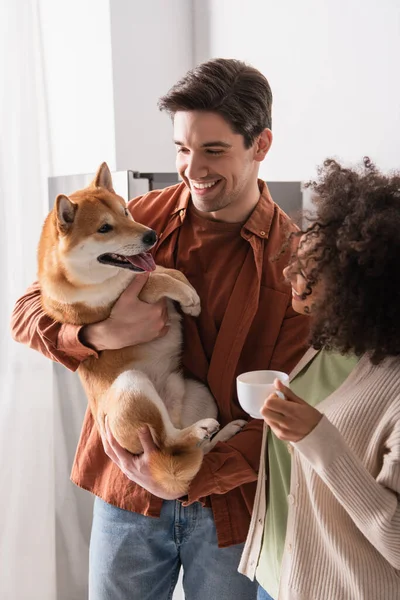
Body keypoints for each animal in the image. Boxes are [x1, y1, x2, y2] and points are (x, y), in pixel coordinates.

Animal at [39, 162, 247, 494]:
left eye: (126, 211)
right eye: (104, 228)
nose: (152, 235)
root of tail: (170, 412)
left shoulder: (151, 267)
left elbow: (169, 272)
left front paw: (189, 296)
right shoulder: (126, 297)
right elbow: (158, 280)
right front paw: (188, 298)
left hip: (201, 393)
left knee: (188, 450)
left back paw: (223, 432)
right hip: (132, 384)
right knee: (168, 441)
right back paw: (199, 430)